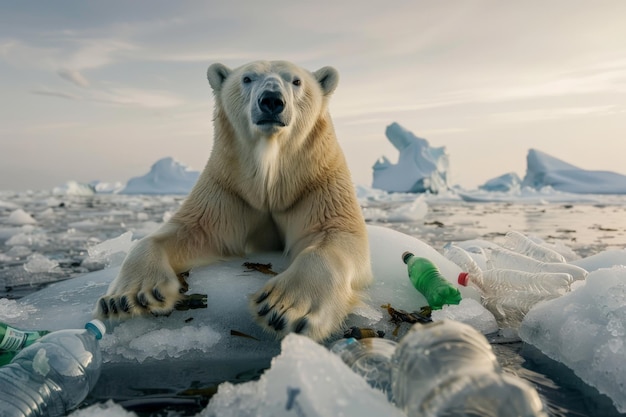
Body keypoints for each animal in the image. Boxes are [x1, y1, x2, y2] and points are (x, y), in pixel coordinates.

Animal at [94, 60, 370, 340]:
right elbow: (191, 230)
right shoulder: (228, 187)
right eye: (247, 78)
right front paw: (130, 296)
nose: (272, 100)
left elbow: (337, 231)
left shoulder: (316, 181)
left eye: (296, 81)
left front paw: (283, 308)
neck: (269, 180)